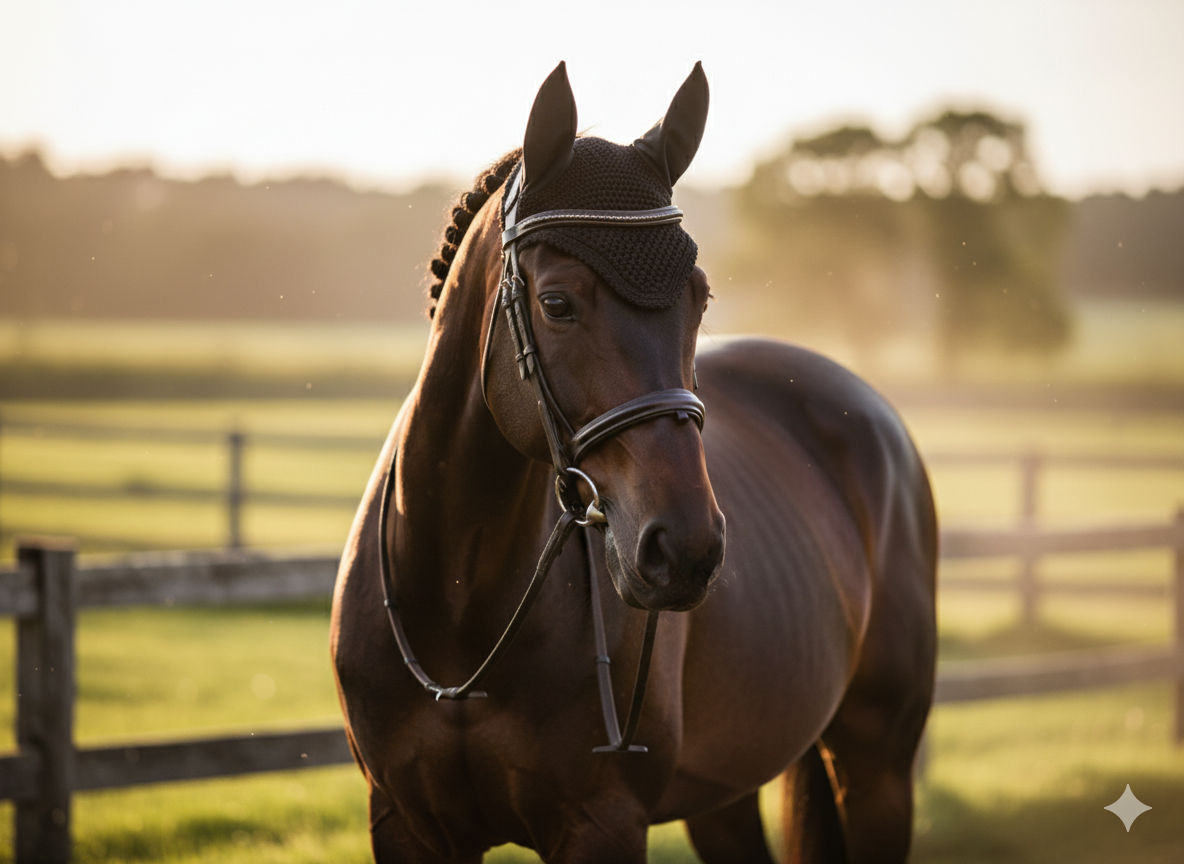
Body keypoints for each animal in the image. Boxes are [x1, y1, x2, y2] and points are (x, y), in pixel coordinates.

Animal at [331, 62, 937, 864]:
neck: (461, 609)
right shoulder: (405, 823)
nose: (685, 548)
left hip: (878, 773)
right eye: (557, 303)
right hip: (725, 796)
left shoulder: (603, 821)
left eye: (700, 297)